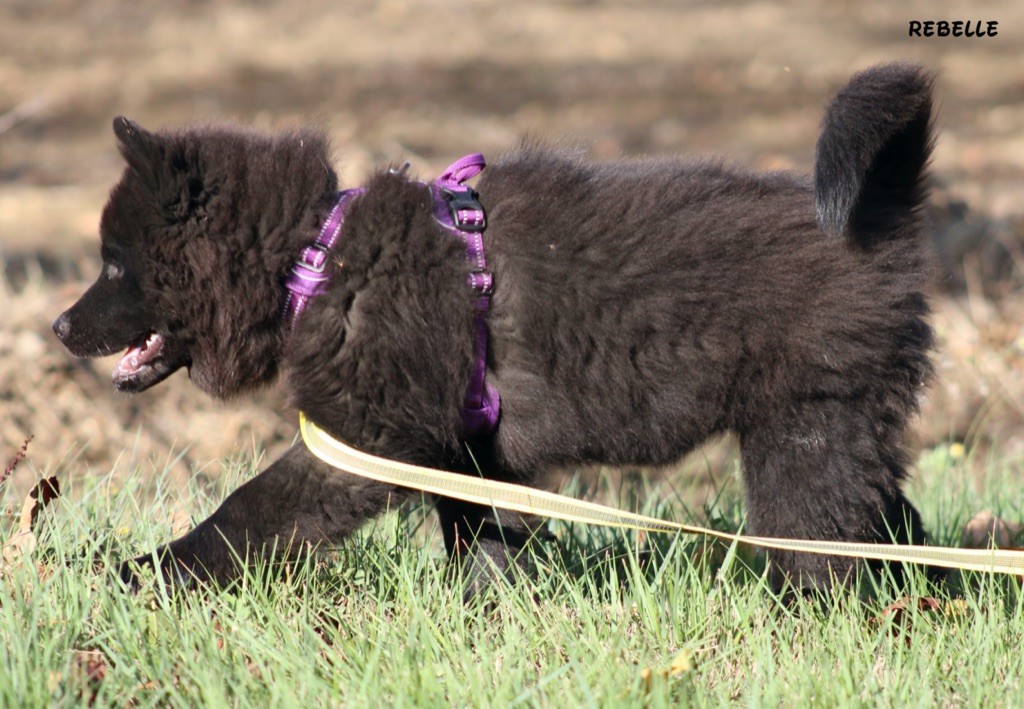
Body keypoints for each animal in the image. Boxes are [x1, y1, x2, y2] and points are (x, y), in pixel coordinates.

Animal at [54, 63, 937, 594]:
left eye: (115, 266)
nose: (60, 326)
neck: (319, 254)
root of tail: (876, 226)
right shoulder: (471, 448)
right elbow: (480, 537)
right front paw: (487, 615)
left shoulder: (365, 437)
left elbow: (249, 507)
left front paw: (145, 573)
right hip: (842, 425)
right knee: (890, 523)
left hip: (805, 426)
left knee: (824, 546)